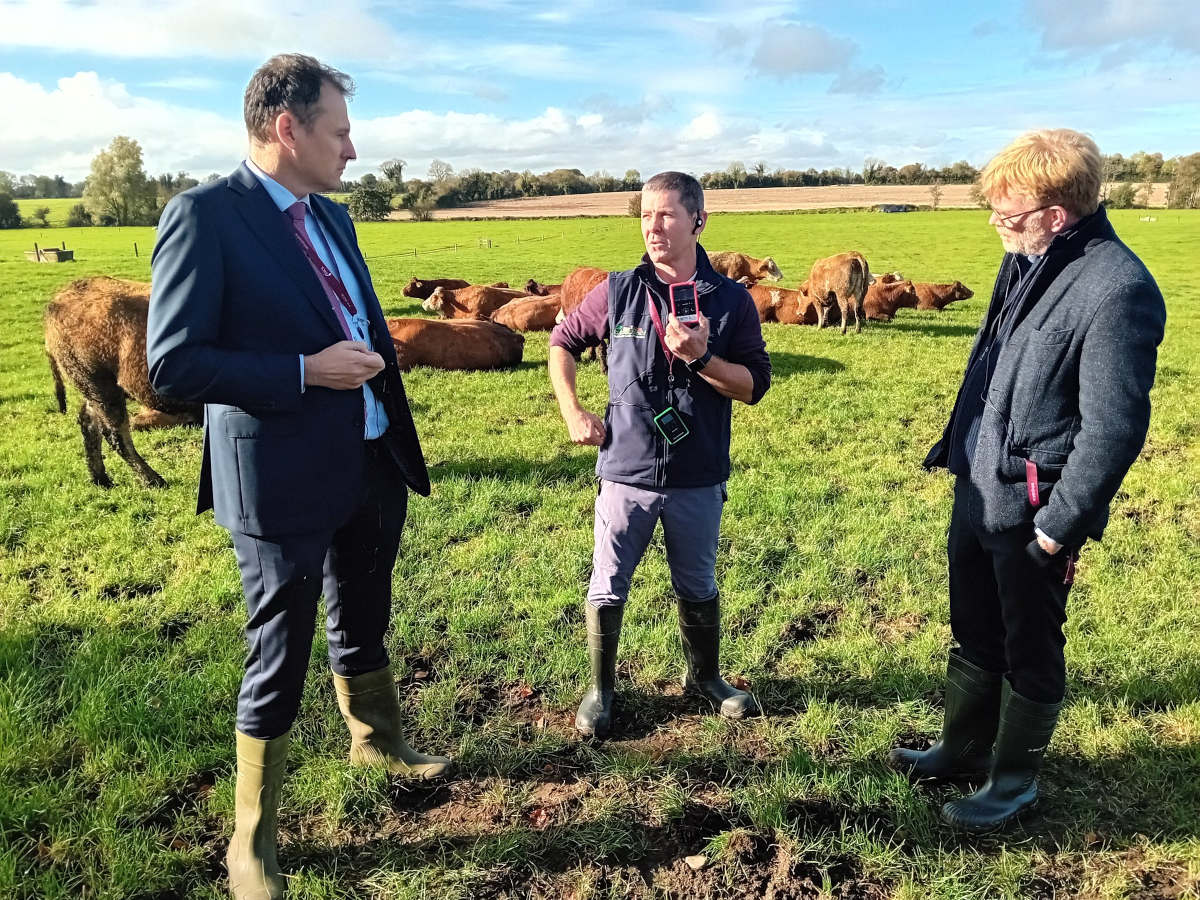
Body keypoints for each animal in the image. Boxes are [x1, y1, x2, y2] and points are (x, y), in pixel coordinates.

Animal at [43, 278, 201, 489]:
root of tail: (59, 299)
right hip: (102, 389)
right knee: (115, 434)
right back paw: (153, 480)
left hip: (96, 391)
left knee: (89, 423)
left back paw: (101, 480)